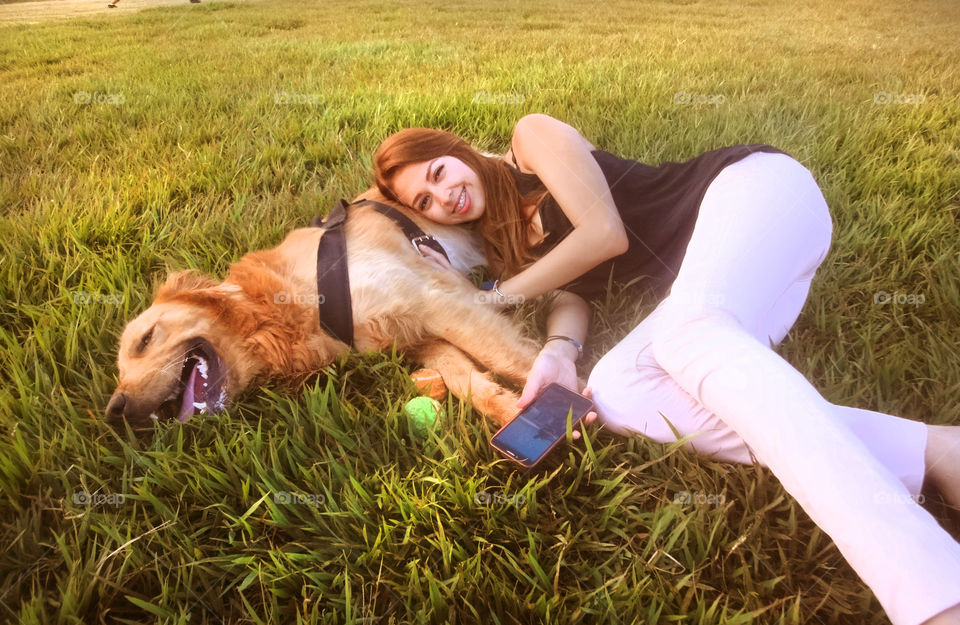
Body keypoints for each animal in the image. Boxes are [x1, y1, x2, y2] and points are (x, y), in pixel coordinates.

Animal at [107, 190, 540, 428]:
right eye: (120, 372)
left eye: (145, 340)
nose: (115, 410)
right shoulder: (415, 336)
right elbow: (465, 379)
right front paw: (510, 412)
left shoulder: (432, 298)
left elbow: (512, 359)